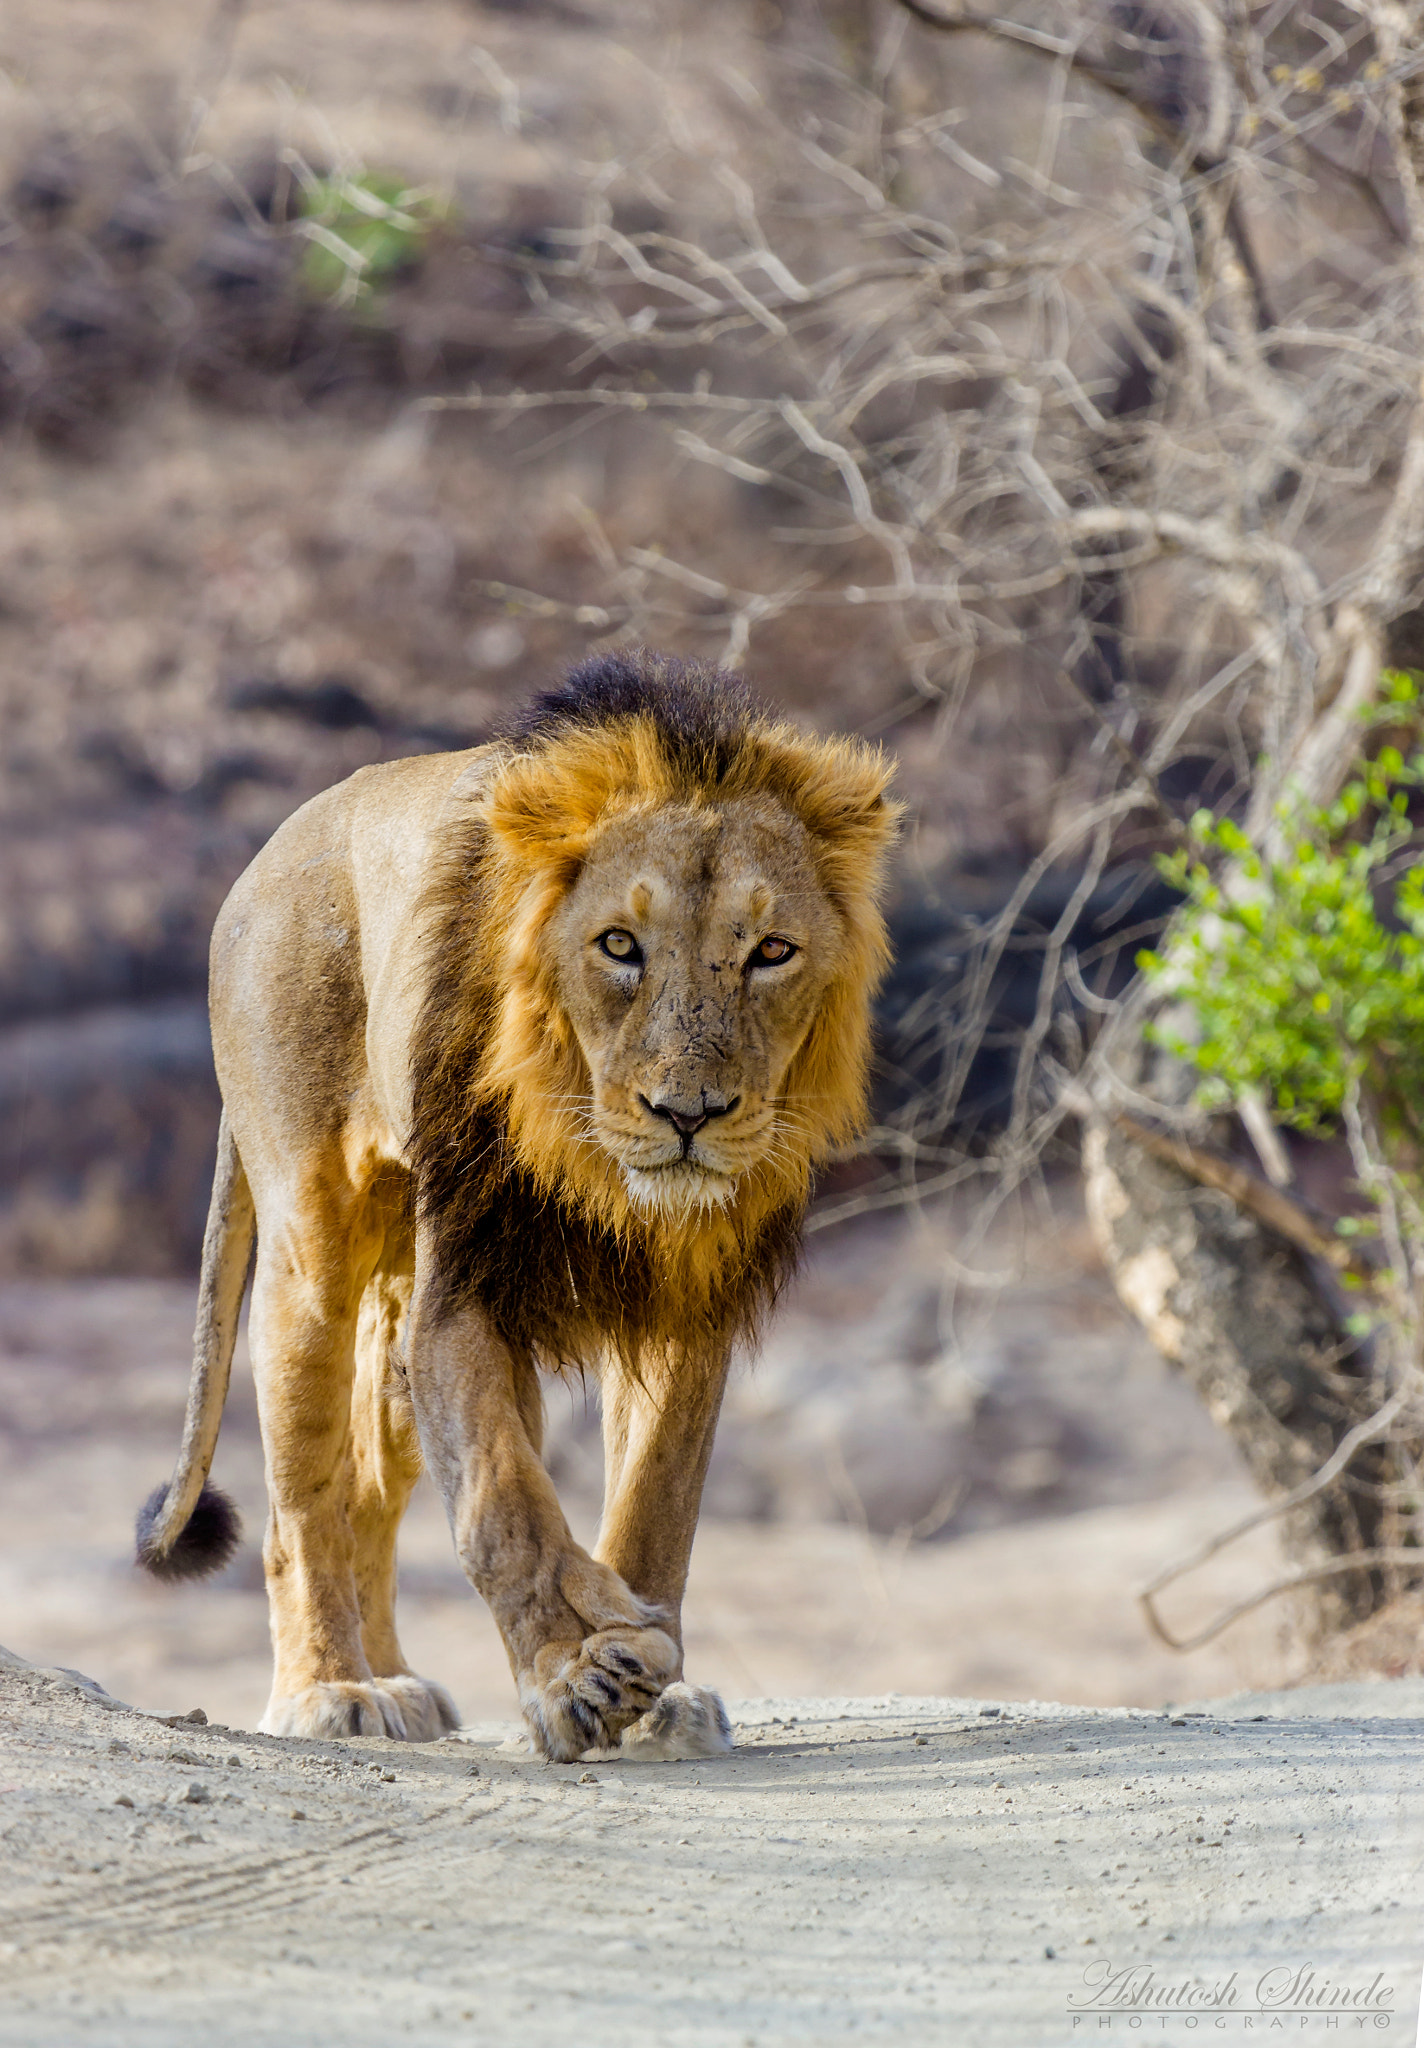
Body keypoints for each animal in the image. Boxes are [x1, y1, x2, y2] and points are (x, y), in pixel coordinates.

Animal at [135, 651, 898, 1761]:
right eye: (618, 944)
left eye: (770, 951)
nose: (688, 1113)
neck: (598, 1169)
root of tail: (272, 846)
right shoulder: (465, 1290)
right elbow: (504, 1502)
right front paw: (575, 1677)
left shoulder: (684, 1308)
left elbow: (654, 1505)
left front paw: (652, 1677)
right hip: (312, 1253)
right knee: (302, 1507)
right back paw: (332, 1690)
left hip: (394, 1314)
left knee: (365, 1494)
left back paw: (399, 1679)